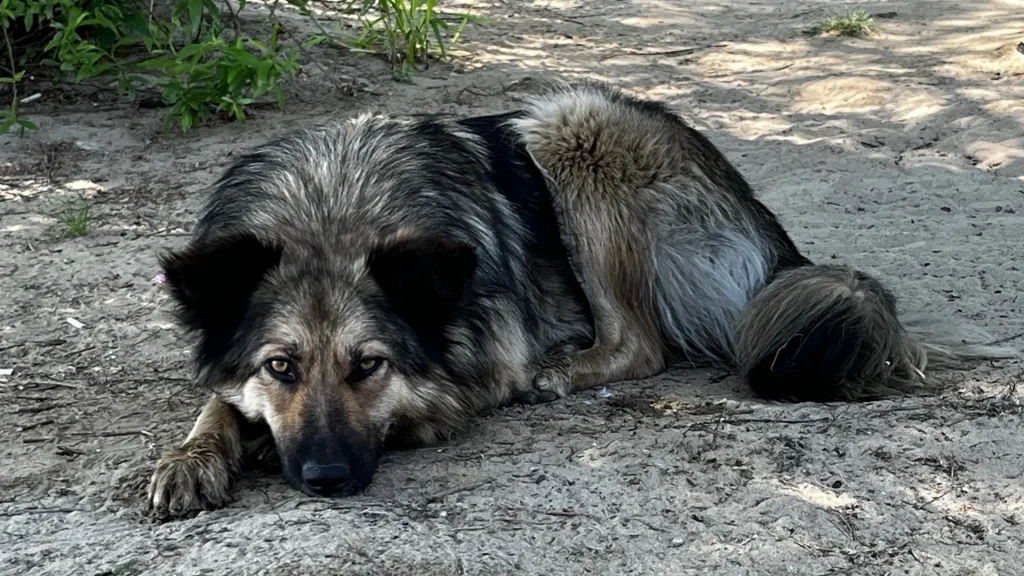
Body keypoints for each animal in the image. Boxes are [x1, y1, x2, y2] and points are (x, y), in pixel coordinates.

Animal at [146, 79, 1015, 516]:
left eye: (370, 367)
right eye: (280, 368)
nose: (324, 477)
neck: (333, 207)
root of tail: (768, 230)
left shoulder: (481, 359)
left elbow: (433, 403)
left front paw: (256, 446)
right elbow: (215, 399)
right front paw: (192, 456)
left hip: (572, 127)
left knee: (642, 344)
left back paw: (563, 370)